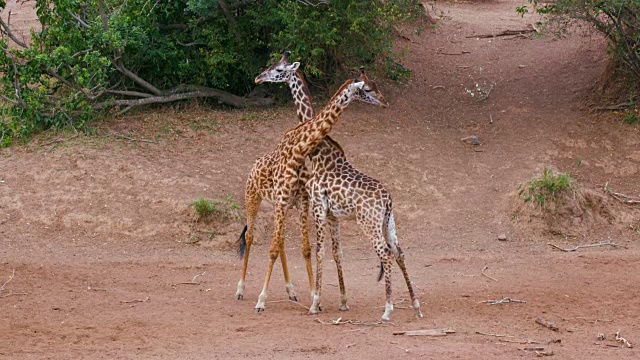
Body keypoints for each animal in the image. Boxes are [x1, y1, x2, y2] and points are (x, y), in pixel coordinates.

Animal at [235, 51, 316, 304]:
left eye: (279, 69)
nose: (258, 78)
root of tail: (252, 167)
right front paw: (262, 297)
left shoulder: (301, 202)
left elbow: (305, 248)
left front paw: (314, 294)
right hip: (253, 198)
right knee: (251, 236)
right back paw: (240, 289)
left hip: (278, 206)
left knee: (279, 242)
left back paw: (291, 290)